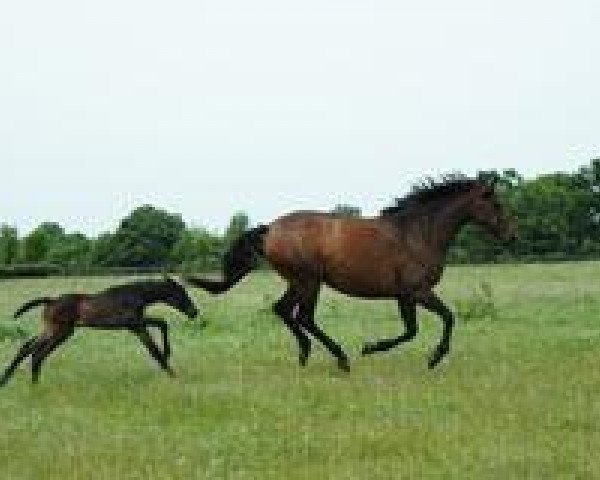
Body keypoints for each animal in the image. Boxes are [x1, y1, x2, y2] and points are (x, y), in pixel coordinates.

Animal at [1, 278, 200, 382]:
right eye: (181, 294)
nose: (194, 312)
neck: (136, 295)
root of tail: (51, 301)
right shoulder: (134, 323)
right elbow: (157, 340)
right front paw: (171, 370)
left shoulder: (136, 326)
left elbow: (157, 336)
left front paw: (169, 363)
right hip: (60, 332)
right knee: (37, 352)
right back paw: (33, 384)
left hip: (54, 330)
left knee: (27, 347)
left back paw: (9, 380)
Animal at [188, 178, 516, 370]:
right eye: (496, 203)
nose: (511, 236)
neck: (418, 234)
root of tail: (270, 229)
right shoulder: (418, 291)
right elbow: (446, 318)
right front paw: (429, 357)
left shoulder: (404, 295)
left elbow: (412, 329)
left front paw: (373, 348)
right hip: (309, 281)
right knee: (302, 316)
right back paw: (340, 358)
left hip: (300, 282)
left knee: (284, 311)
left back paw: (306, 354)